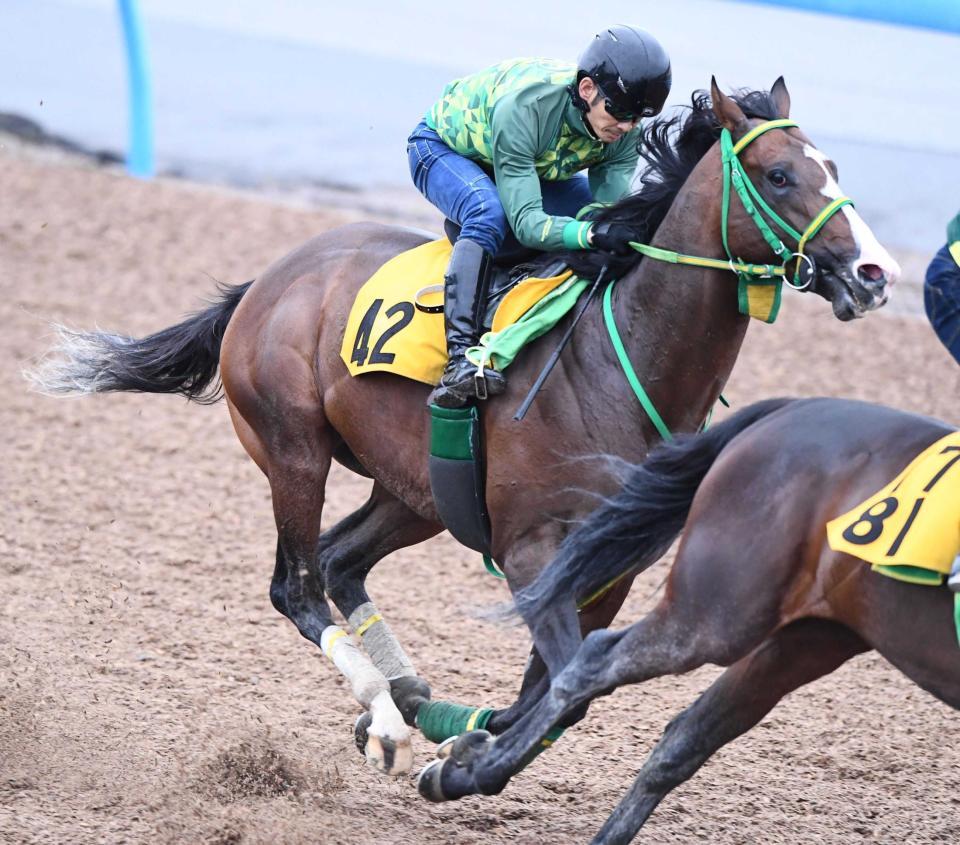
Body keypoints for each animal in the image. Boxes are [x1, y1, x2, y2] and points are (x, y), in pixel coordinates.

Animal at [30, 81, 900, 780]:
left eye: (834, 168)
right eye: (780, 175)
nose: (874, 273)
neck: (618, 361)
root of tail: (268, 279)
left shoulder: (607, 570)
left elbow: (554, 688)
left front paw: (468, 739)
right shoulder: (529, 549)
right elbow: (564, 689)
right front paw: (458, 756)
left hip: (419, 490)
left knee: (342, 559)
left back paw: (414, 700)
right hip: (295, 451)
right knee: (297, 584)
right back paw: (386, 715)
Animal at [420, 398, 960, 844]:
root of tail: (798, 406)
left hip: (817, 633)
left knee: (683, 738)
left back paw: (464, 770)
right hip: (720, 614)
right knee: (597, 662)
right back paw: (476, 767)